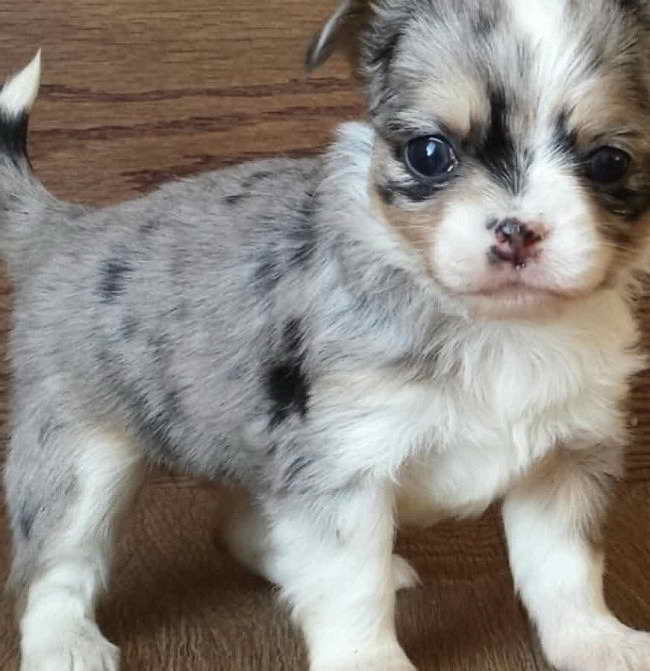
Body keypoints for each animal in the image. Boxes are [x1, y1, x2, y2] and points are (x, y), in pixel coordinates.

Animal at [3, 1, 648, 671]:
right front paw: (370, 661)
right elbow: (352, 585)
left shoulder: (565, 461)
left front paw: (597, 643)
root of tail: (72, 227)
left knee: (240, 526)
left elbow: (565, 570)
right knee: (56, 562)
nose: (516, 232)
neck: (495, 328)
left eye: (609, 162)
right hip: (78, 458)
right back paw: (64, 643)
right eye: (428, 153)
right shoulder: (344, 470)